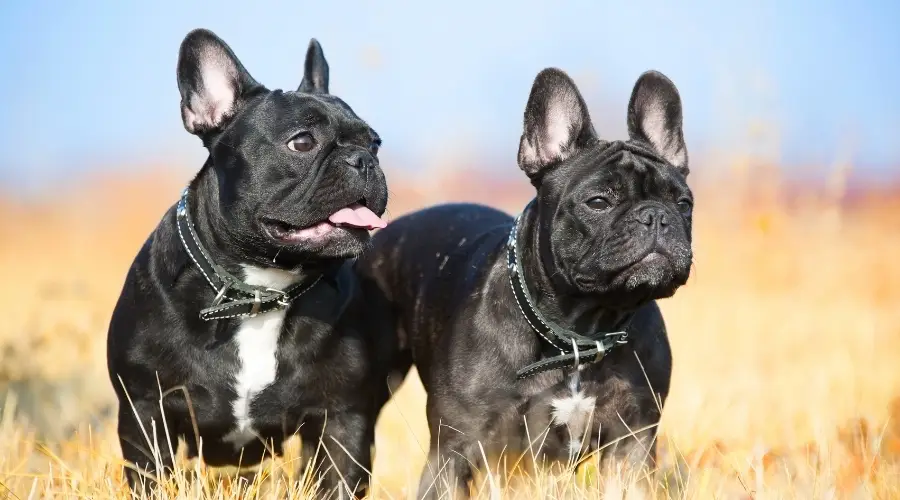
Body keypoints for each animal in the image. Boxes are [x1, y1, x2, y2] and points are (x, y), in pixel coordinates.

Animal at [106, 29, 412, 498]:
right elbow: (152, 477)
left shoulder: (343, 419)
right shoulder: (145, 409)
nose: (363, 160)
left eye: (374, 142)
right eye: (302, 142)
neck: (261, 288)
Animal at [362, 68, 692, 498]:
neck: (580, 331)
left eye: (684, 203)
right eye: (598, 202)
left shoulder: (631, 441)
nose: (656, 216)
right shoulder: (455, 449)